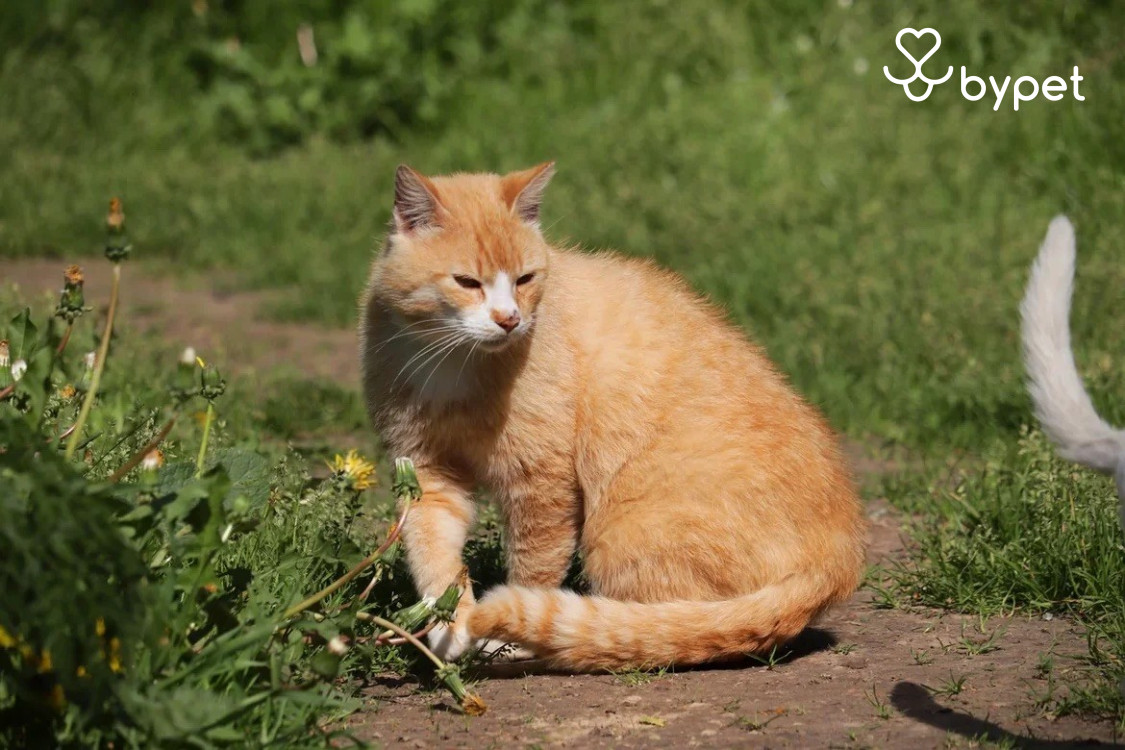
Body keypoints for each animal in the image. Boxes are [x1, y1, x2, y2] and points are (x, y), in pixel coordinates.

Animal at [357, 163, 859, 670]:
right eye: (466, 282)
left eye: (524, 279)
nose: (509, 319)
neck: (455, 361)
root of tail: (836, 562)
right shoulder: (426, 472)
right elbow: (432, 553)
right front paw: (448, 626)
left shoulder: (540, 484)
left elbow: (534, 568)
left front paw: (509, 640)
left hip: (618, 536)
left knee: (670, 625)